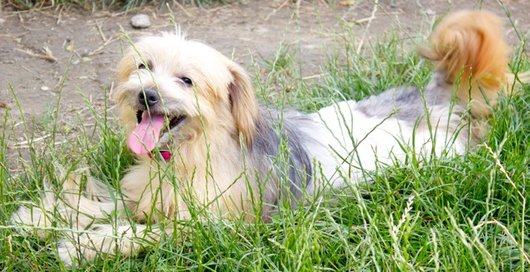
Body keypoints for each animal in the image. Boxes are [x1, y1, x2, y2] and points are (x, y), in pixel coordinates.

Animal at [10, 9, 524, 264]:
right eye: (143, 65)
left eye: (187, 81)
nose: (147, 94)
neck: (197, 152)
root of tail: (435, 99)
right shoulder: (147, 195)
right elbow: (103, 204)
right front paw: (40, 217)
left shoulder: (214, 225)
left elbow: (142, 232)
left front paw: (84, 246)